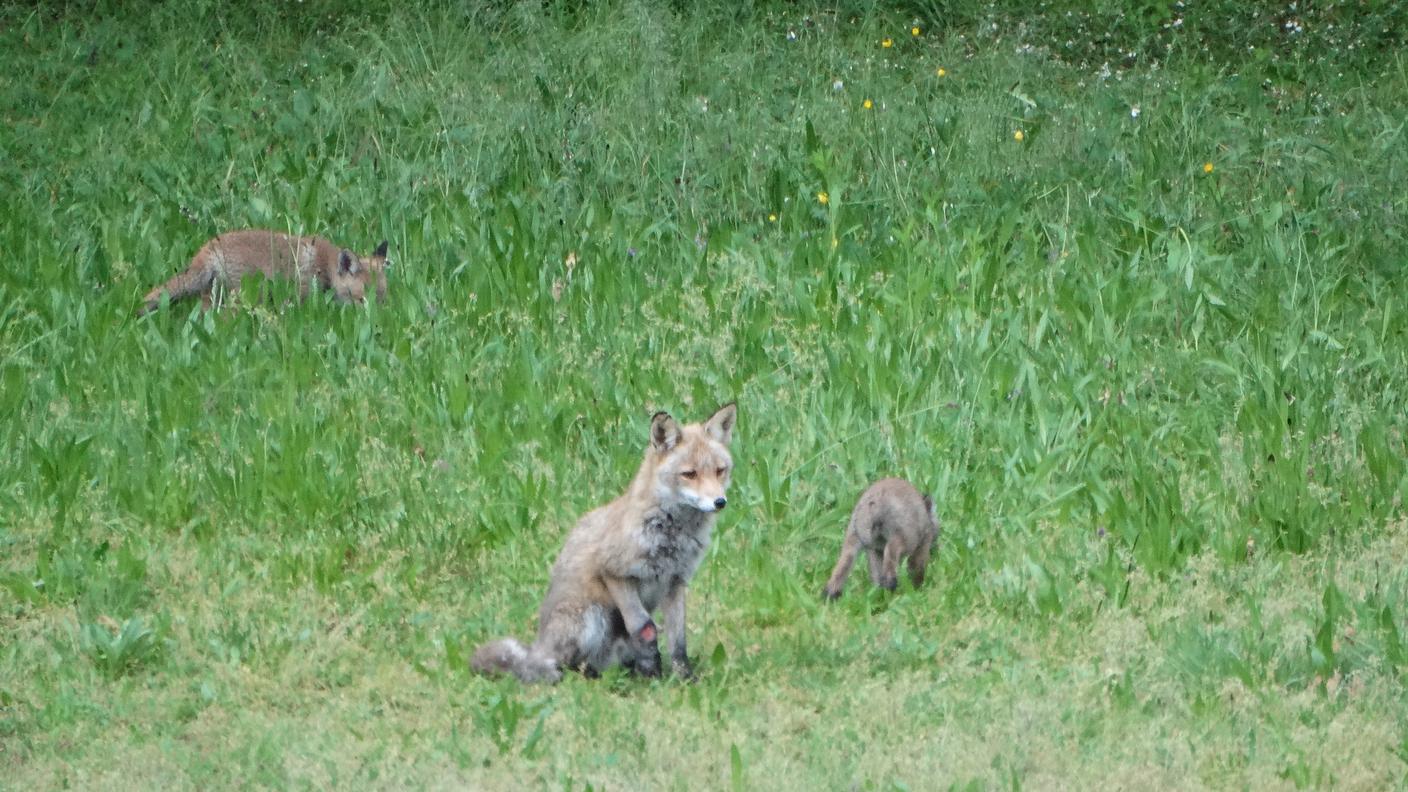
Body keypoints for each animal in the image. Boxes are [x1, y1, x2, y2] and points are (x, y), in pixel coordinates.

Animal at [135, 226, 385, 312]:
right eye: (362, 299)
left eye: (383, 297)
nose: (380, 319)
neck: (324, 265)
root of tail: (209, 247)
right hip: (244, 292)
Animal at [473, 403, 737, 682]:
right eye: (689, 474)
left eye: (720, 471)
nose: (720, 501)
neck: (671, 535)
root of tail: (540, 647)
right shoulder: (615, 572)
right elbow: (644, 628)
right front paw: (652, 674)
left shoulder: (675, 581)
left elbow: (678, 639)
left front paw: (684, 678)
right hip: (591, 618)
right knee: (565, 663)